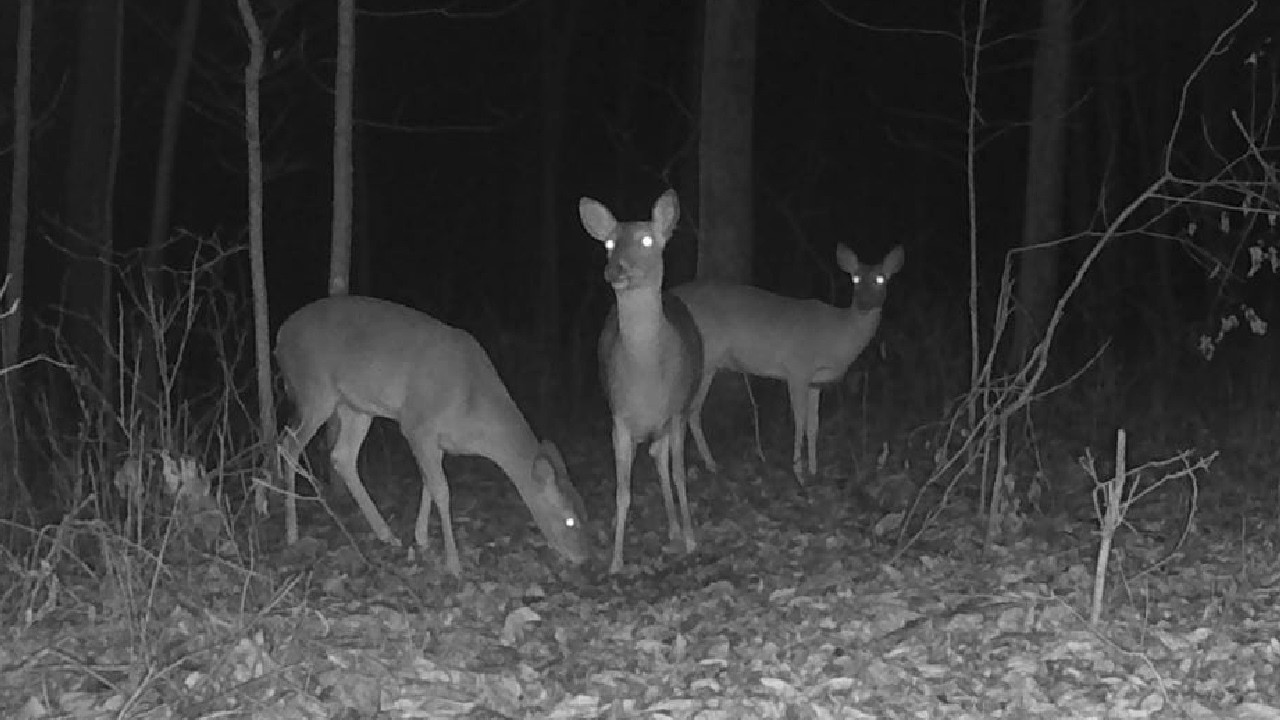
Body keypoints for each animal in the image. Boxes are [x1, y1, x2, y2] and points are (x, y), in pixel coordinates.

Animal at [274, 295, 589, 576]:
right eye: (570, 520)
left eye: (585, 510)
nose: (583, 556)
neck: (472, 406)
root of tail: (280, 335)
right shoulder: (417, 423)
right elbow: (441, 489)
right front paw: (453, 563)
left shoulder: (436, 440)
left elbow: (428, 481)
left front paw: (421, 537)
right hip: (315, 389)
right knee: (289, 444)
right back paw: (291, 532)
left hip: (356, 405)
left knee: (342, 456)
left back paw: (386, 534)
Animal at [582, 189, 704, 574]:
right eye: (608, 243)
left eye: (648, 239)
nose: (615, 269)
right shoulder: (619, 417)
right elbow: (623, 490)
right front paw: (616, 560)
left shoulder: (676, 410)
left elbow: (679, 474)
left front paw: (691, 540)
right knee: (652, 455)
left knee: (662, 458)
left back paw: (678, 531)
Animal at [671, 243, 904, 482]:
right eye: (855, 279)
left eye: (880, 279)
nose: (864, 303)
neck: (837, 336)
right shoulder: (797, 369)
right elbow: (799, 421)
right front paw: (799, 472)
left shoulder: (816, 381)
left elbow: (814, 425)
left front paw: (814, 469)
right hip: (702, 357)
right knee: (686, 410)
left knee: (691, 411)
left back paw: (709, 465)